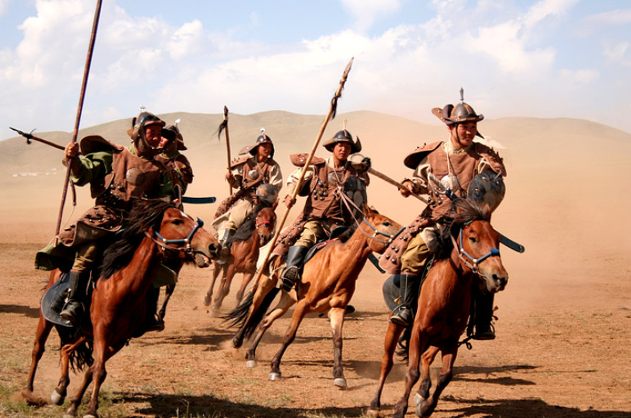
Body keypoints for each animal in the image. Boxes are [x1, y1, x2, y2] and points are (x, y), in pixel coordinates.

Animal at [20, 200, 219, 417]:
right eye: (176, 220)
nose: (213, 245)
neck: (121, 287)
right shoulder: (102, 330)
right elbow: (99, 370)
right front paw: (91, 410)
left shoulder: (119, 338)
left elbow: (94, 369)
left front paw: (74, 406)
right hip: (47, 318)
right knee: (38, 349)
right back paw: (28, 393)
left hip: (86, 331)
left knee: (66, 348)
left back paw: (60, 389)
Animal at [225, 205, 402, 388]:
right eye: (386, 223)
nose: (404, 237)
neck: (336, 266)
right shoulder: (303, 305)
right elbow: (289, 335)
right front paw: (275, 368)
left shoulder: (337, 309)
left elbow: (338, 340)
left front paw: (339, 375)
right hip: (266, 282)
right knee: (253, 310)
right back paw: (237, 341)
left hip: (288, 298)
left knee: (266, 319)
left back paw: (251, 354)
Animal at [367, 198, 509, 418]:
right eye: (473, 238)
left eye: (497, 239)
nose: (499, 277)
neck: (447, 291)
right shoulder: (418, 332)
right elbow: (412, 372)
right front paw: (400, 408)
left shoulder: (451, 340)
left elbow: (445, 376)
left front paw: (426, 407)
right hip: (396, 326)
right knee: (387, 362)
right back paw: (375, 403)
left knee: (426, 358)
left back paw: (422, 393)